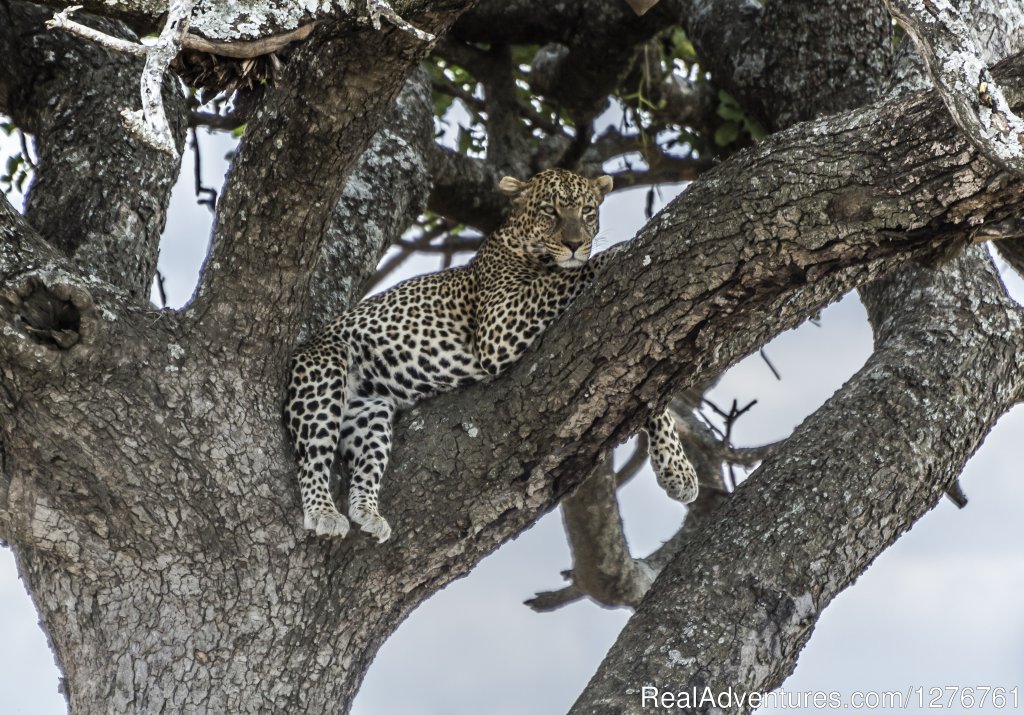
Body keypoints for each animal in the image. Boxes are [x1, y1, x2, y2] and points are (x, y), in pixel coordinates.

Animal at [284, 170, 700, 544]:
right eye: (550, 211)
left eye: (587, 211)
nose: (574, 243)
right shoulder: (499, 325)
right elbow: (565, 277)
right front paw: (618, 250)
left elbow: (655, 394)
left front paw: (678, 471)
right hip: (324, 371)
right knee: (312, 458)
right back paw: (324, 512)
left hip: (370, 411)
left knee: (363, 466)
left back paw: (367, 513)